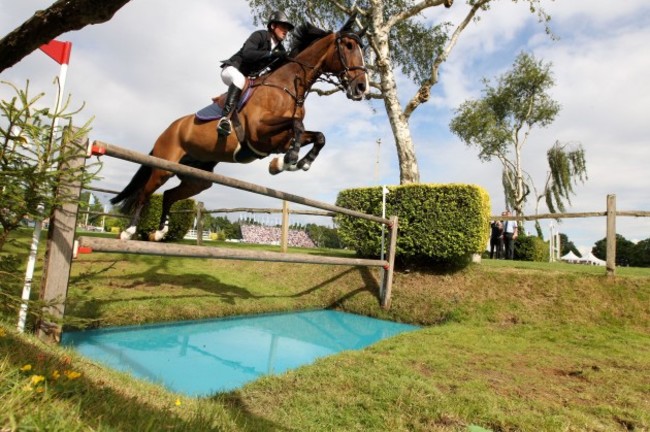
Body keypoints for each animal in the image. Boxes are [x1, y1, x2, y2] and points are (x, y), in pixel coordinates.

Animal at [109, 16, 368, 240]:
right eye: (348, 46)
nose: (362, 88)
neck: (288, 86)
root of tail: (168, 130)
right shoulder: (259, 131)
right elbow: (297, 124)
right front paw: (289, 160)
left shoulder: (278, 140)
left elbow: (318, 136)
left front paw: (292, 163)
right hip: (164, 166)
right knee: (144, 194)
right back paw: (129, 231)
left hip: (197, 178)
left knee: (169, 195)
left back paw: (160, 231)